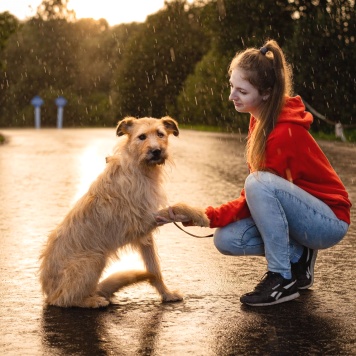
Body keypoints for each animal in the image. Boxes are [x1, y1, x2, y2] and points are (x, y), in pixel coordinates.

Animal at [40, 115, 182, 308]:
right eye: (142, 137)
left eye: (160, 134)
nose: (156, 151)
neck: (139, 168)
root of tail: (49, 292)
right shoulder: (139, 223)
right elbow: (168, 213)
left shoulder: (144, 236)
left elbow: (154, 267)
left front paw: (166, 294)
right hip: (94, 259)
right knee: (65, 299)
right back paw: (93, 301)